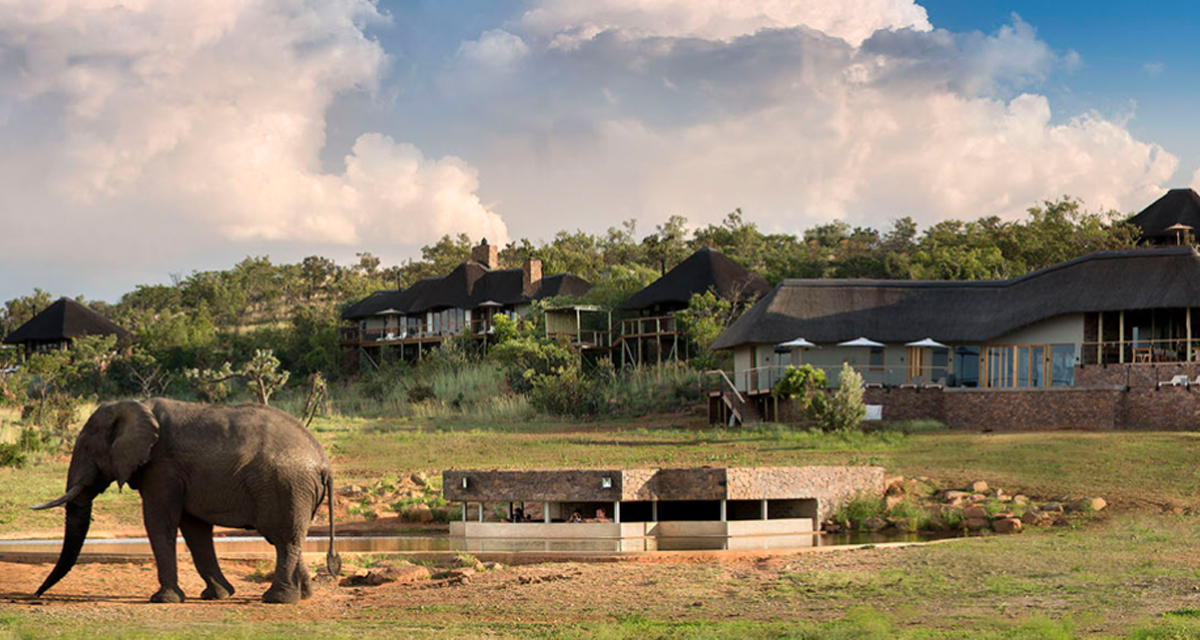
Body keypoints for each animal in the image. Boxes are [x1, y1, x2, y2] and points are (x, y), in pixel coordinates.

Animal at [30, 396, 340, 600]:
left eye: (84, 447)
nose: (37, 596)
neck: (135, 405)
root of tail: (324, 460)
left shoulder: (162, 468)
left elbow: (159, 522)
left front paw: (163, 599)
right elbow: (194, 529)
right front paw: (218, 595)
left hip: (286, 485)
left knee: (283, 537)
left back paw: (276, 599)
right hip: (294, 489)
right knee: (289, 536)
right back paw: (304, 595)